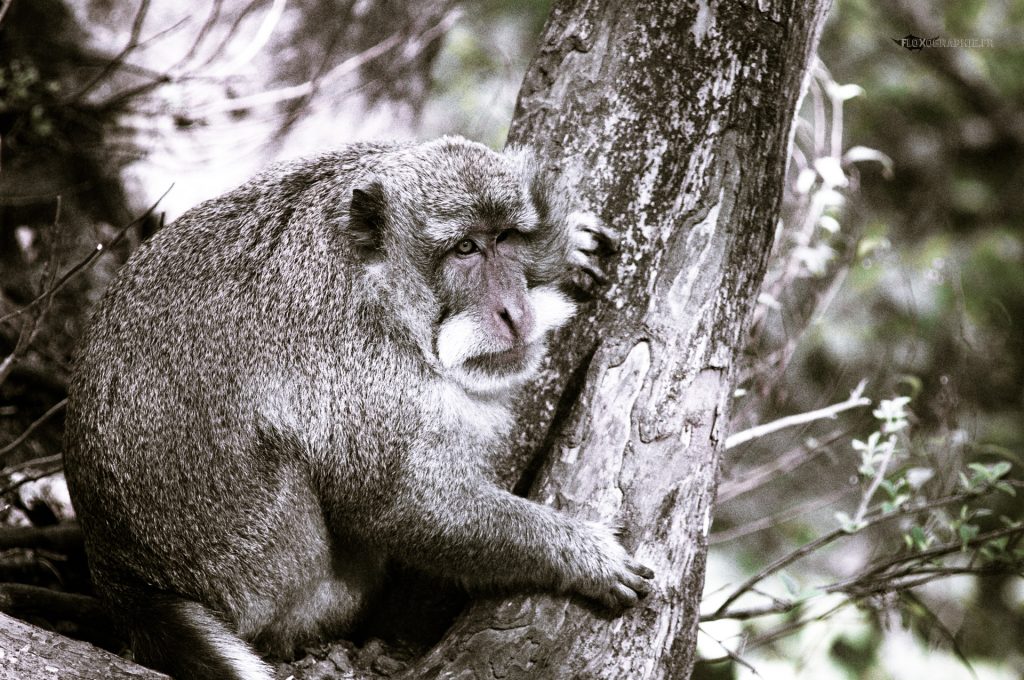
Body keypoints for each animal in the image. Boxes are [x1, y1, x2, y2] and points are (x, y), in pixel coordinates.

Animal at [63, 136, 654, 680]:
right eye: (465, 249)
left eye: (505, 238)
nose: (512, 311)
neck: (382, 285)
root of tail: (125, 583)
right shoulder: (363, 367)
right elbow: (400, 506)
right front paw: (576, 552)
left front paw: (566, 243)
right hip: (268, 578)